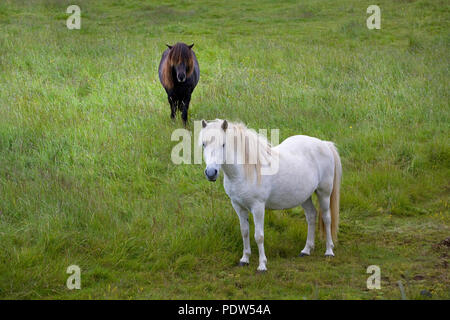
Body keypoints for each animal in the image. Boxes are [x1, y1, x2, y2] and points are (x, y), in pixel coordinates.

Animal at [199, 119, 342, 272]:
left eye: (223, 144)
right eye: (204, 144)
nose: (211, 173)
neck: (246, 171)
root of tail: (324, 144)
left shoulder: (258, 207)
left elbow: (259, 236)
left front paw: (262, 265)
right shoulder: (238, 206)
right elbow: (245, 232)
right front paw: (244, 259)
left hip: (324, 193)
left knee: (327, 218)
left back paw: (329, 251)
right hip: (304, 196)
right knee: (311, 216)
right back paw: (306, 250)